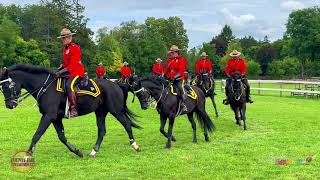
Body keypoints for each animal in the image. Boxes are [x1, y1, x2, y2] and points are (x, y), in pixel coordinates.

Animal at [0, 64, 141, 158]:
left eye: (7, 86)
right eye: (1, 87)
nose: (9, 105)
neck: (45, 87)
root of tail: (116, 84)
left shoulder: (48, 116)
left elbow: (37, 134)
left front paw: (27, 154)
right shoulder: (55, 118)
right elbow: (62, 137)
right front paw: (77, 151)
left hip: (116, 110)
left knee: (127, 124)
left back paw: (135, 146)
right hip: (100, 112)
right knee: (102, 131)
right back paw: (93, 152)